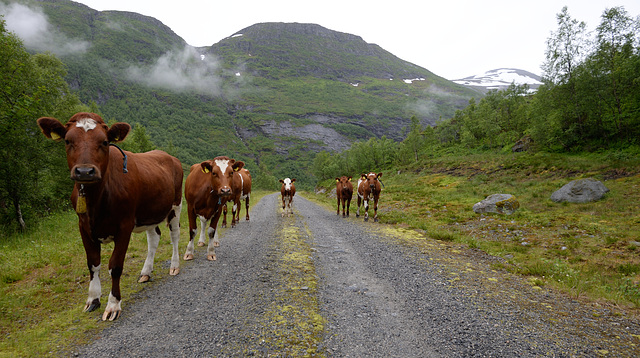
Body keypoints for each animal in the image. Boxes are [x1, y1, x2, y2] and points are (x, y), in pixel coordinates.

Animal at [37, 110, 182, 320]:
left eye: (104, 142)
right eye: (67, 140)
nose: (85, 171)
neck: (95, 202)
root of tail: (166, 155)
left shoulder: (125, 225)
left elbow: (115, 266)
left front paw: (113, 304)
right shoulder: (83, 226)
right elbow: (93, 263)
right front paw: (93, 299)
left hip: (176, 205)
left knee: (174, 236)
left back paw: (175, 265)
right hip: (149, 211)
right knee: (154, 238)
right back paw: (146, 272)